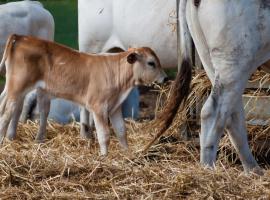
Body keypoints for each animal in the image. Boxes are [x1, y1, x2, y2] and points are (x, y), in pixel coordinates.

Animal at [156, 0, 270, 174]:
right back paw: (208, 170)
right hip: (235, 57)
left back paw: (254, 171)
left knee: (232, 114)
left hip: (209, 57)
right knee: (213, 112)